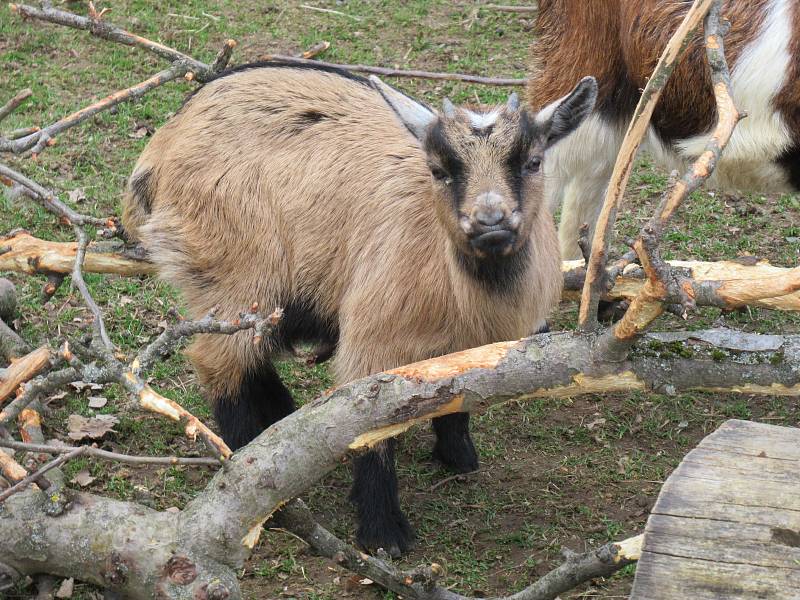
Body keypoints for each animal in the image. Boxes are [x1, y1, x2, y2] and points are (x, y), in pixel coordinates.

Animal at [120, 63, 592, 556]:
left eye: (533, 162)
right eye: (439, 170)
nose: (490, 221)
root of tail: (160, 149)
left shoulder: (473, 350)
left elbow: (457, 396)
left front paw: (458, 456)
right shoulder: (372, 338)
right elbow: (367, 427)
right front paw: (384, 534)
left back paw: (282, 417)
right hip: (237, 278)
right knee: (219, 363)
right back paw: (249, 465)